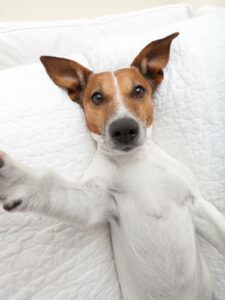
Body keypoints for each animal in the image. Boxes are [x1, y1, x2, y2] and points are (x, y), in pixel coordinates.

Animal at [0, 32, 225, 300]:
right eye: (97, 97)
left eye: (139, 91)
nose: (124, 129)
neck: (136, 162)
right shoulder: (95, 201)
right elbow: (50, 185)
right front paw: (13, 178)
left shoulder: (197, 204)